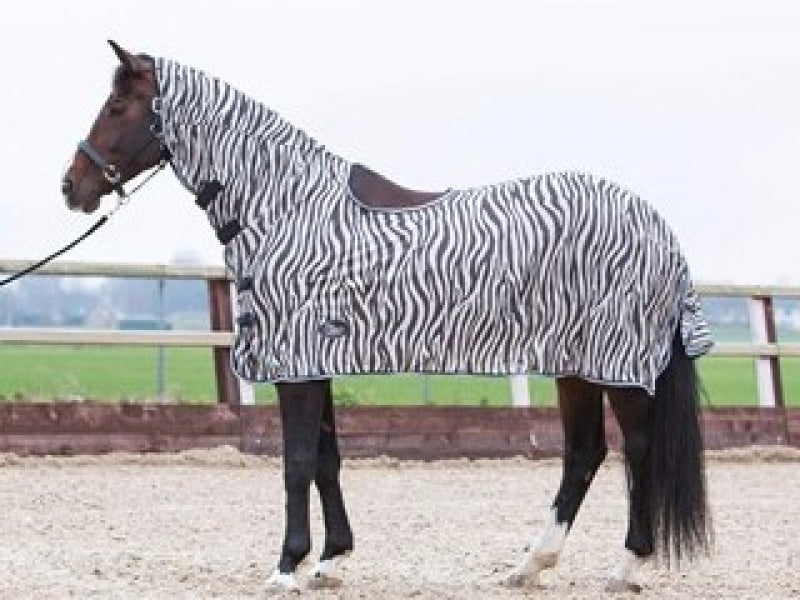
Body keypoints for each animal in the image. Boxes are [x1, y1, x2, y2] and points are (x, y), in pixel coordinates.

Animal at [62, 41, 713, 593]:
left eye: (117, 106)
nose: (72, 186)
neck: (287, 206)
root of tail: (661, 230)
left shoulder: (295, 363)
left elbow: (296, 463)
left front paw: (285, 568)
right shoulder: (314, 362)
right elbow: (326, 459)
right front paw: (330, 561)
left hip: (615, 364)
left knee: (637, 448)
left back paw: (625, 566)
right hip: (575, 364)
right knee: (584, 453)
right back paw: (530, 565)